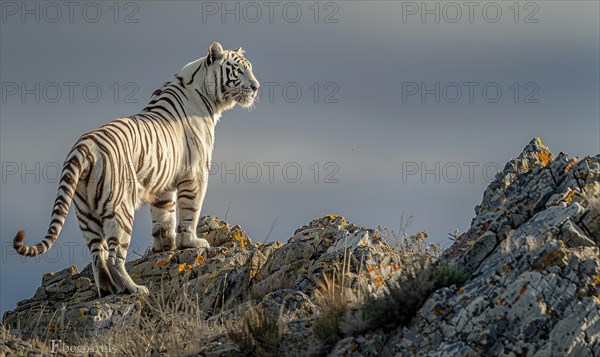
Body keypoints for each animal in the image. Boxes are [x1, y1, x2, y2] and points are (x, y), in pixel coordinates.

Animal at [13, 41, 260, 296]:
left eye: (250, 69)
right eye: (239, 70)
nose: (256, 87)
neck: (205, 94)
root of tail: (84, 147)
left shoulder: (163, 182)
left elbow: (163, 216)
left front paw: (163, 248)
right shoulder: (195, 173)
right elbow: (190, 211)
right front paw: (191, 243)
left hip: (85, 212)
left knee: (97, 255)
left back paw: (108, 290)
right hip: (120, 209)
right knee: (114, 257)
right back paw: (135, 288)